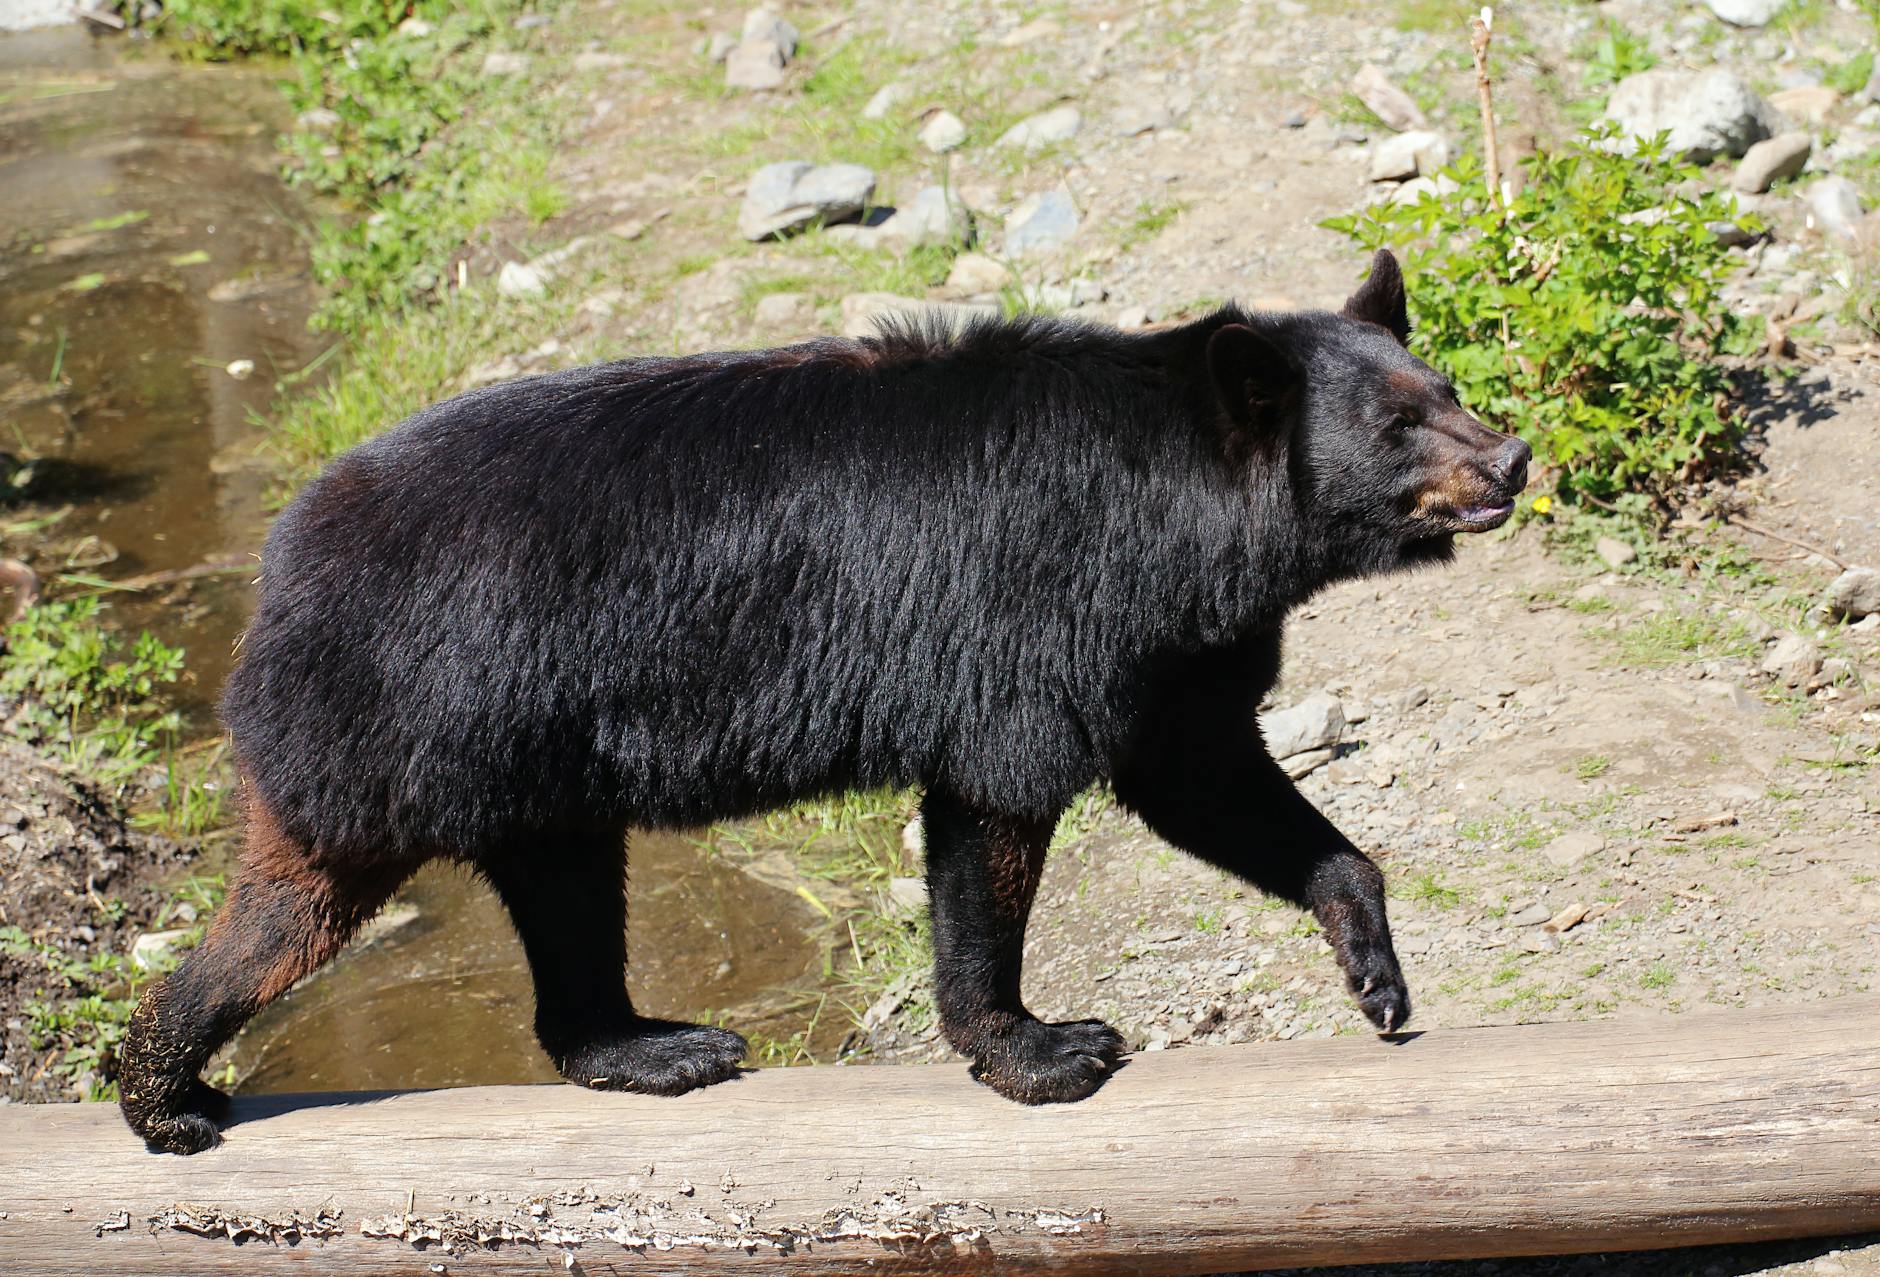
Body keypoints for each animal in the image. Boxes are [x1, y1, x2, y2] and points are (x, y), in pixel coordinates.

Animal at [118, 249, 1529, 1154]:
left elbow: (1207, 777)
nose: (1511, 458)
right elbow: (995, 806)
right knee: (295, 907)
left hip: (530, 759)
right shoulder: (1040, 610)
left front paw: (1375, 969)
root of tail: (281, 562)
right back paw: (166, 1091)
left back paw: (647, 1043)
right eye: (1397, 426)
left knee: (565, 889)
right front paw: (1043, 1045)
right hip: (414, 712)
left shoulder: (1172, 646)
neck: (1184, 521)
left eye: (1446, 389)